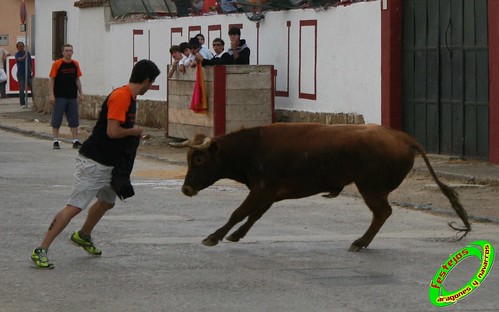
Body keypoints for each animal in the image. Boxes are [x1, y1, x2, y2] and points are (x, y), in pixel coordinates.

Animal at [170, 122, 470, 251]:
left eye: (198, 159)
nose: (185, 189)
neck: (254, 147)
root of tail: (406, 139)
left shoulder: (262, 188)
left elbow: (239, 212)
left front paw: (213, 237)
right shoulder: (270, 192)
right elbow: (254, 215)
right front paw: (235, 236)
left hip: (370, 187)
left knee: (382, 212)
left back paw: (359, 242)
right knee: (382, 213)